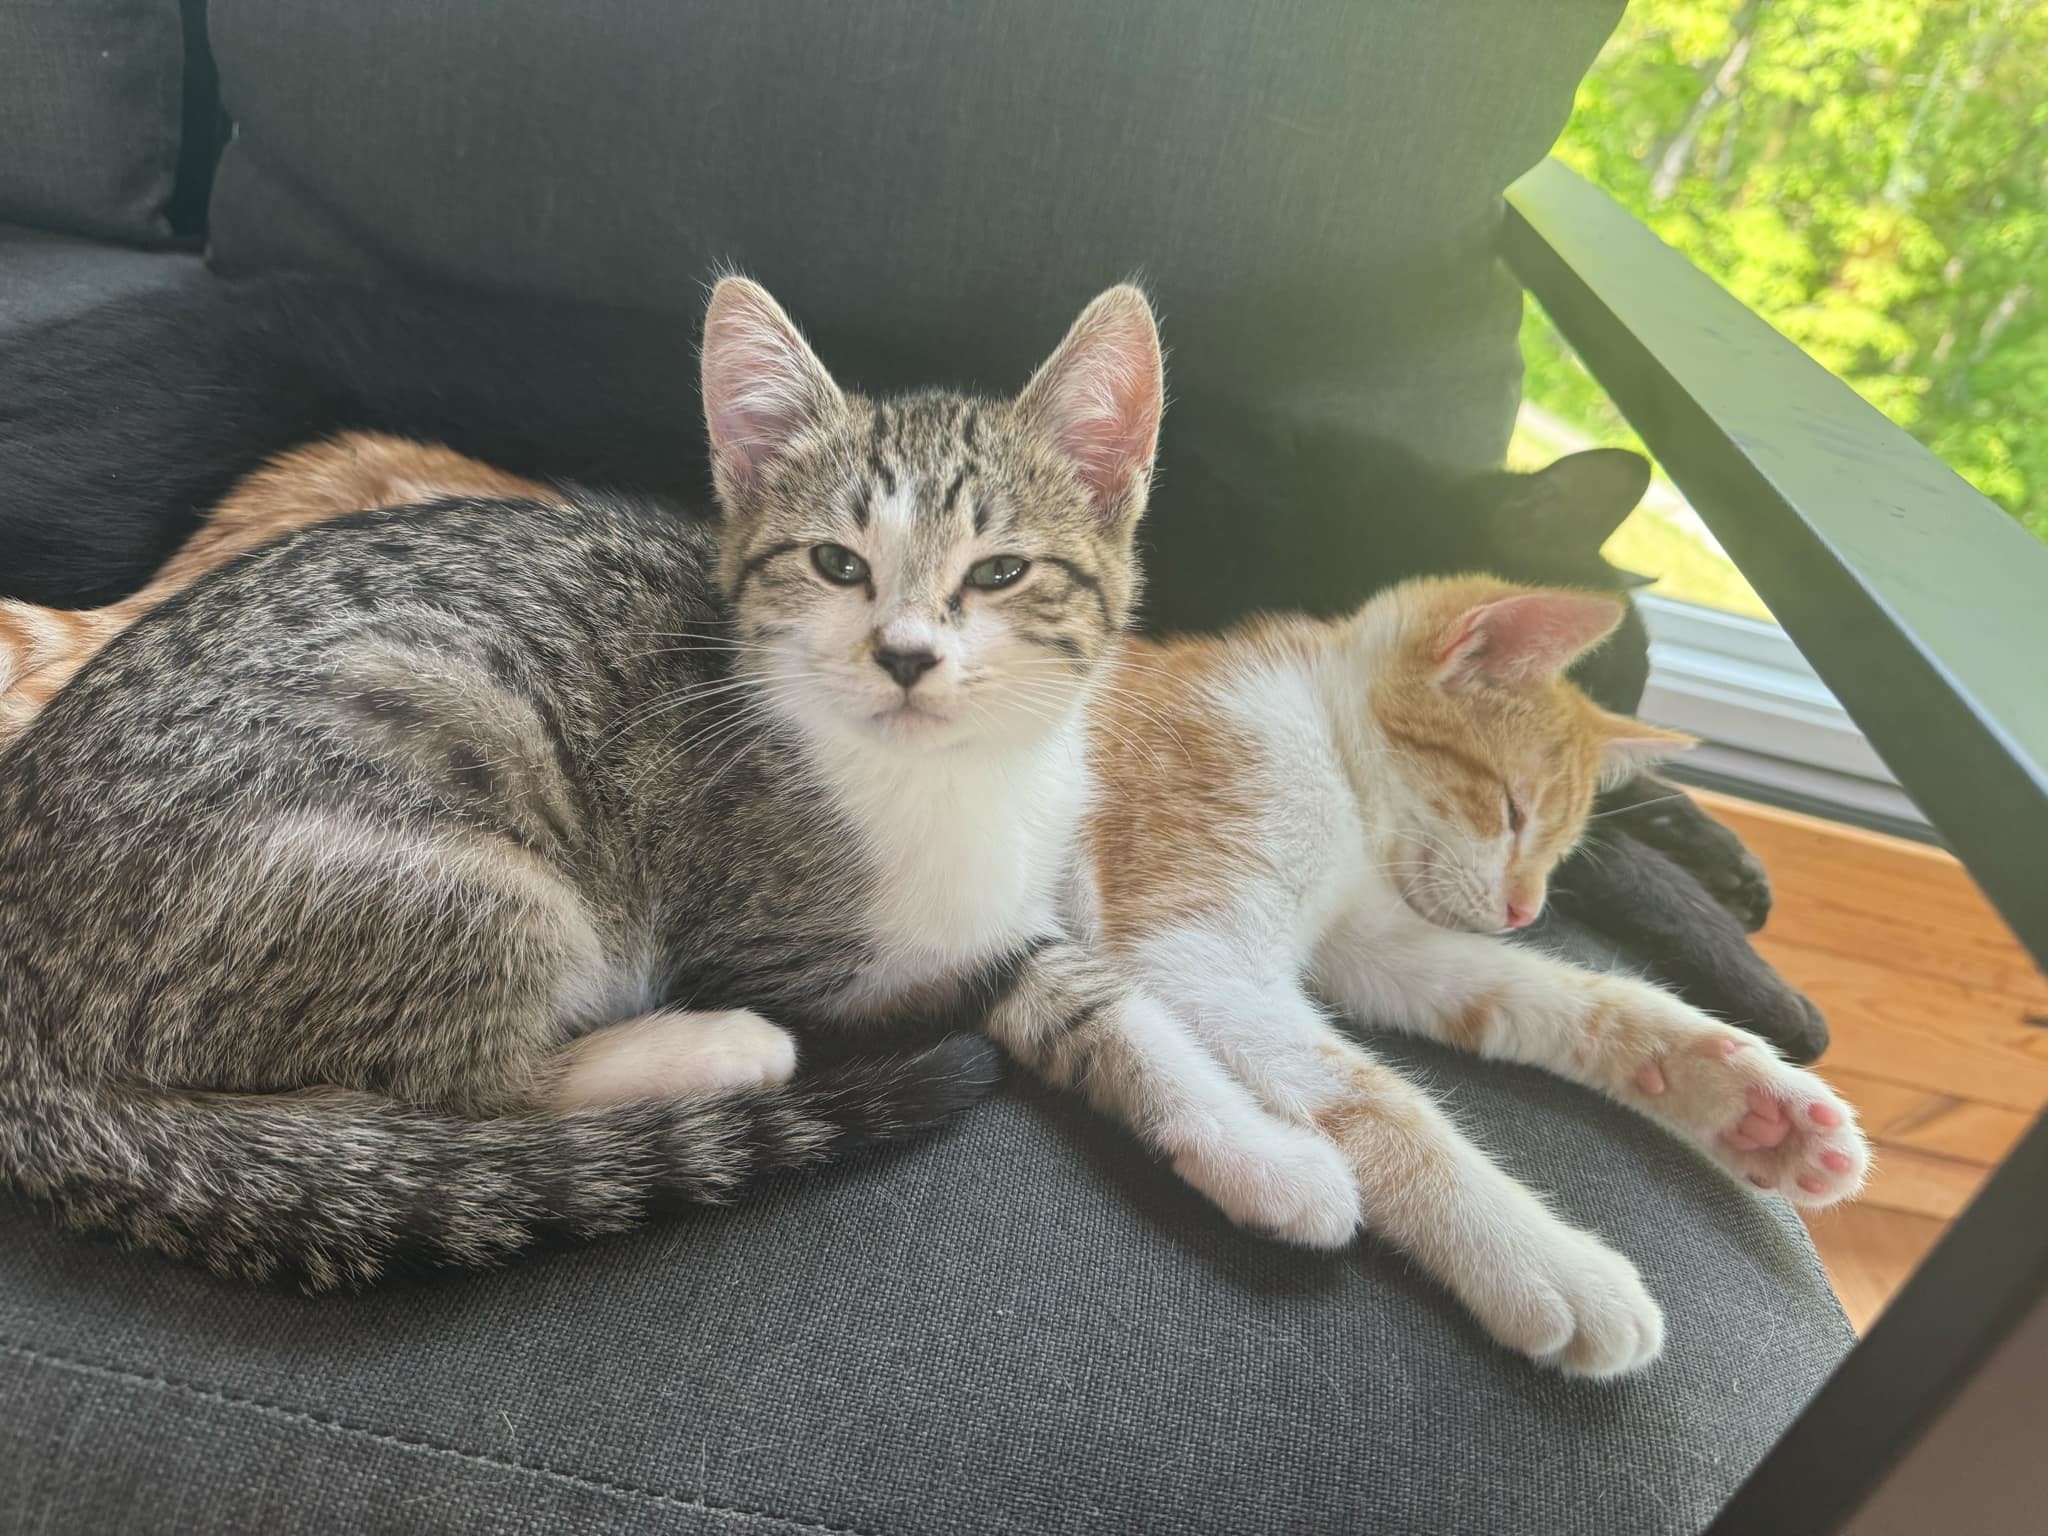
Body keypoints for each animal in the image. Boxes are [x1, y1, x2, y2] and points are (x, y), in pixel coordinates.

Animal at [4, 276, 1359, 1286]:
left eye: (999, 572)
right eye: (835, 564)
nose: (905, 656)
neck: (942, 784)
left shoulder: (1005, 916)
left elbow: (1101, 1001)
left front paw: (1263, 1155)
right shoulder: (786, 947)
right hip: (461, 866)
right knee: (458, 1098)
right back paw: (709, 1050)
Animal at [1089, 581, 1875, 1384]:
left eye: (1561, 850)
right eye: (1511, 811)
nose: (1523, 910)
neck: (1326, 744)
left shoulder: (1372, 938)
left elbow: (1527, 991)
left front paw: (1743, 1098)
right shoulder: (1193, 946)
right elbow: (1382, 1104)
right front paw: (1542, 1259)